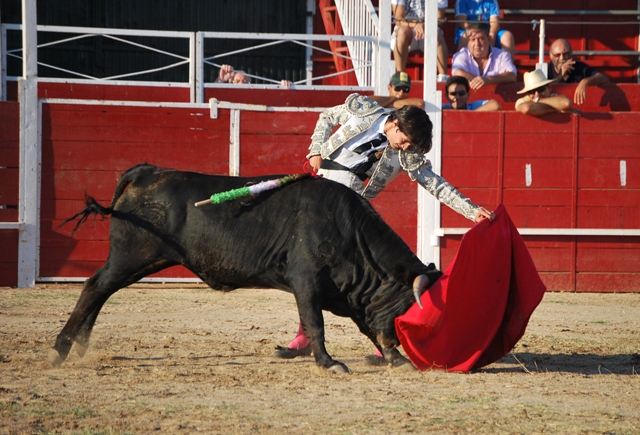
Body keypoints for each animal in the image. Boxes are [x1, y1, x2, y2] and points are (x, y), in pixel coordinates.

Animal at [52, 164, 442, 374]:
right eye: (411, 310)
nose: (406, 344)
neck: (349, 229)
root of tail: (146, 171)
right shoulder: (306, 281)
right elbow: (315, 322)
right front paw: (330, 362)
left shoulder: (350, 296)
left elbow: (366, 326)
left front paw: (396, 359)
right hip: (131, 256)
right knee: (94, 287)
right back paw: (61, 349)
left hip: (141, 260)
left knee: (101, 292)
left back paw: (80, 346)